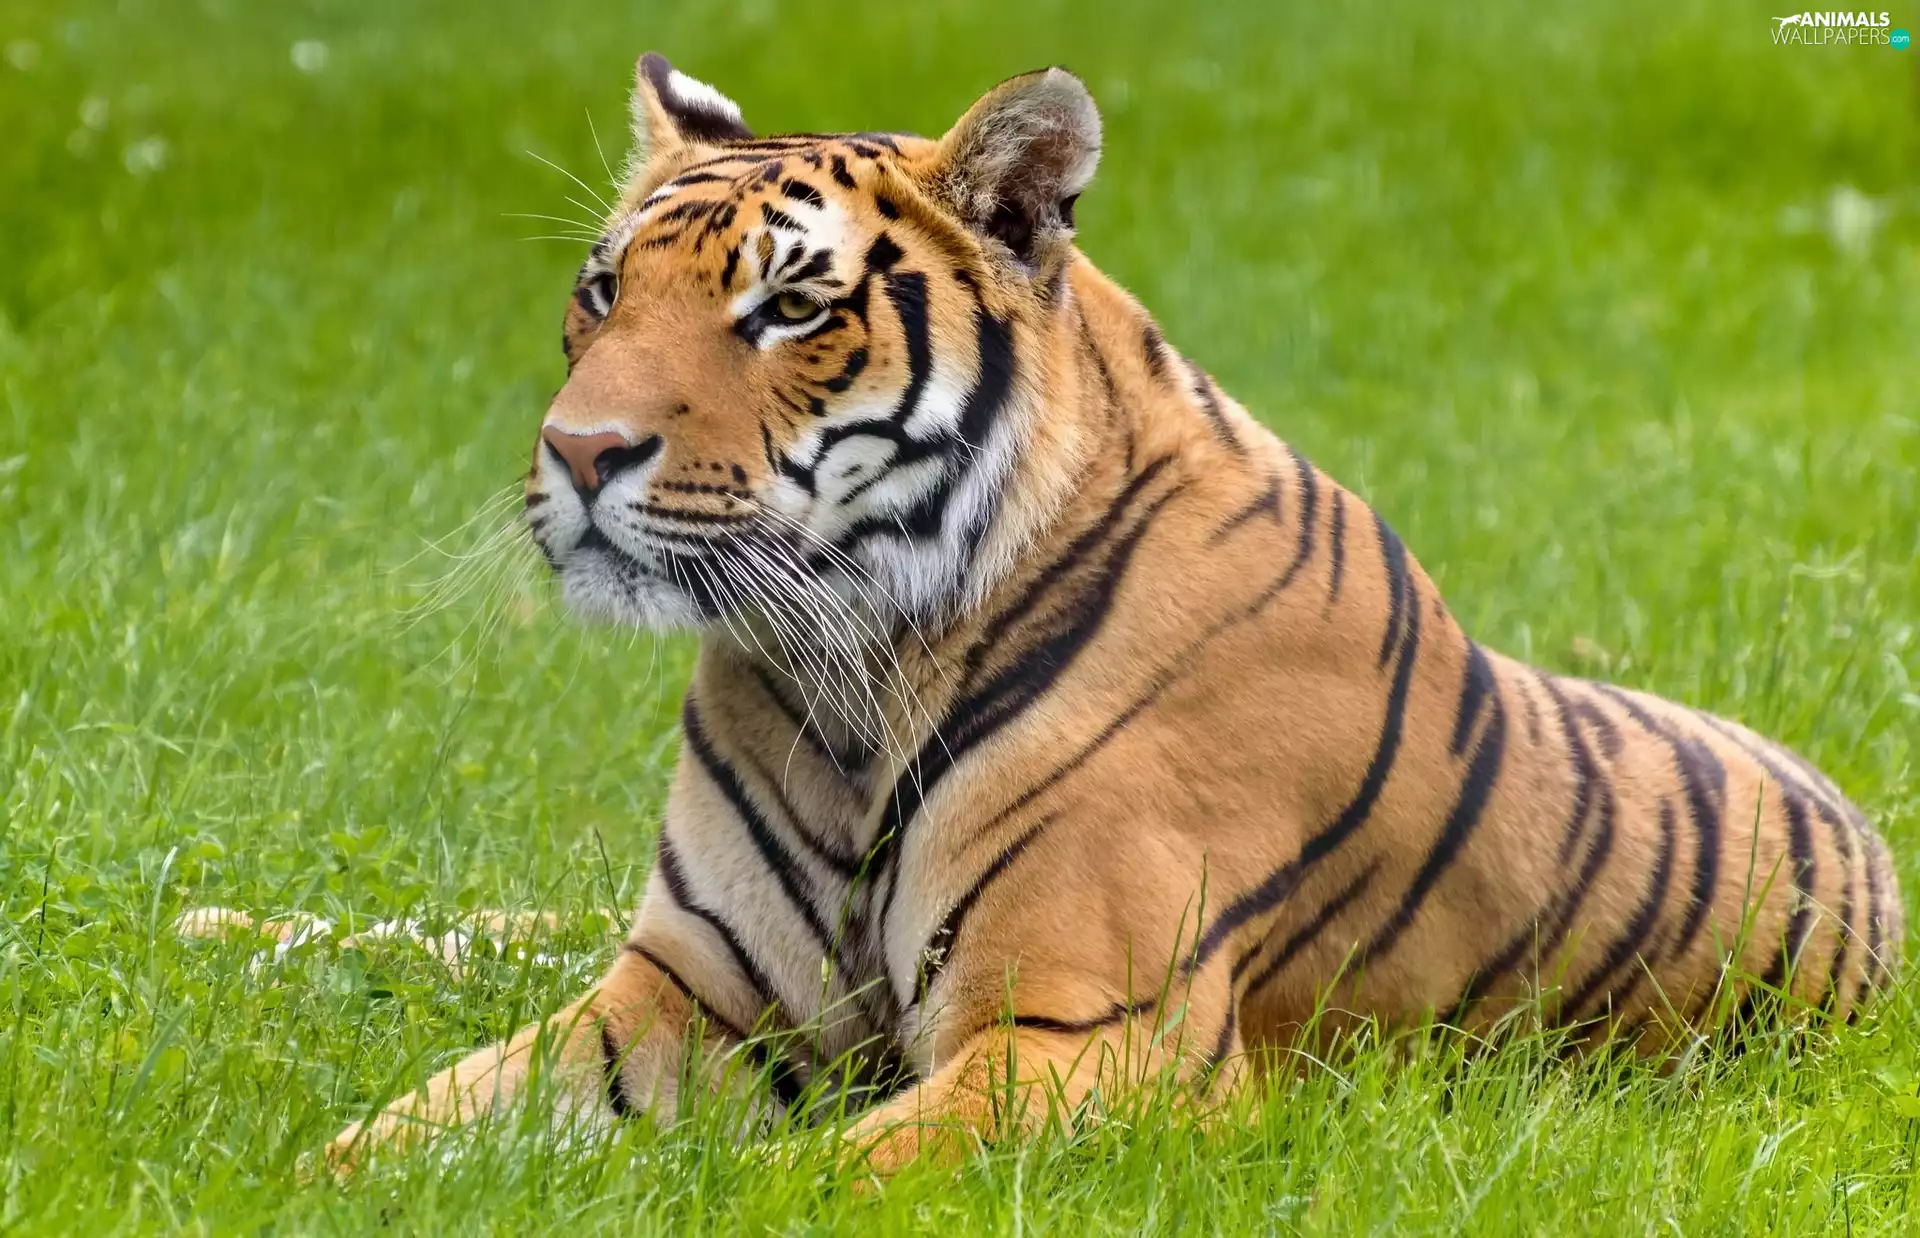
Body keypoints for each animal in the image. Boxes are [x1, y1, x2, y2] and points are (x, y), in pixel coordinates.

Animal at [325, 52, 1904, 1173]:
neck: (845, 670)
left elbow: (816, 1181)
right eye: (602, 290)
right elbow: (407, 1123)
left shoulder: (1092, 1031)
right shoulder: (688, 988)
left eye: (790, 308)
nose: (581, 451)